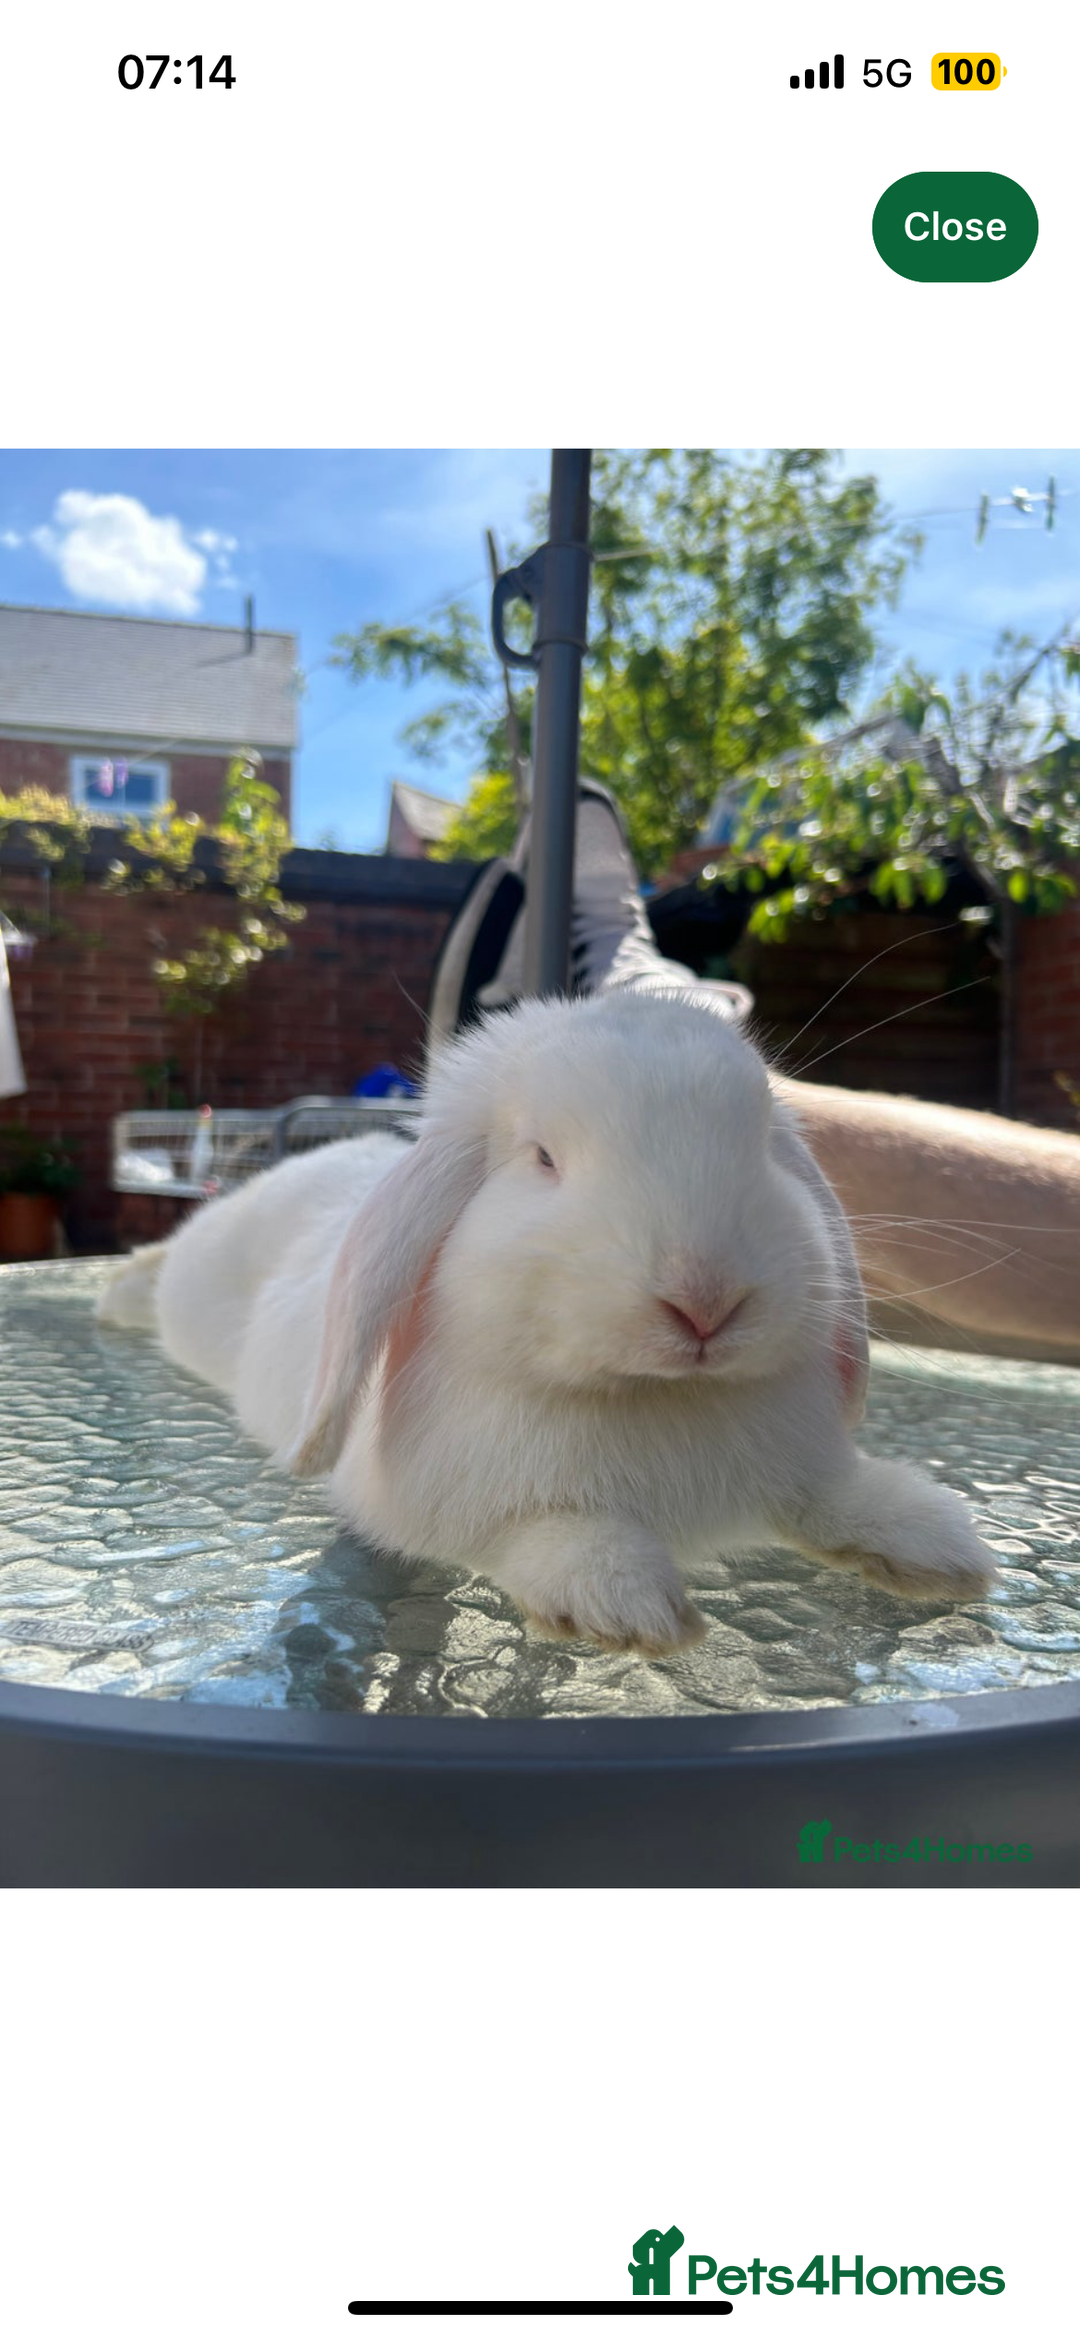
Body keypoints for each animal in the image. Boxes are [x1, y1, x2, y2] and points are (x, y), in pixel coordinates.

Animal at [96, 989, 997, 1655]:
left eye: (763, 1146)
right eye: (542, 1159)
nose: (705, 1299)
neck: (658, 1398)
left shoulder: (804, 1467)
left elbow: (835, 1499)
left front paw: (940, 1545)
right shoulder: (463, 1508)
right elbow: (547, 1532)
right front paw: (632, 1609)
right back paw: (115, 1289)